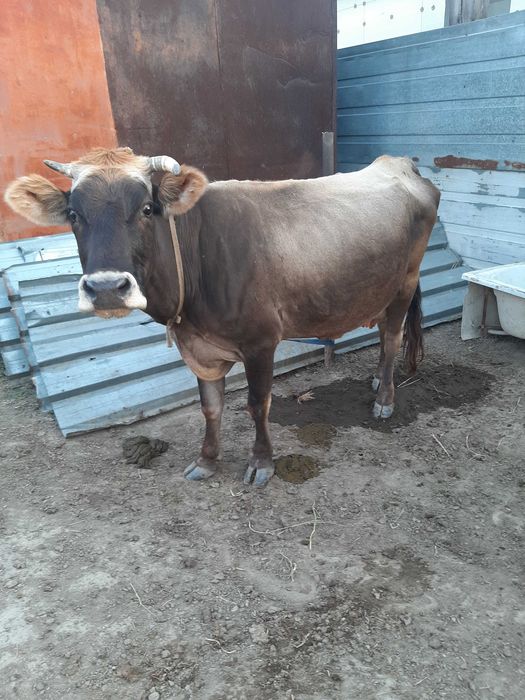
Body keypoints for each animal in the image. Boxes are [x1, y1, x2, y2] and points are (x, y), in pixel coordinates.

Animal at [5, 148, 440, 486]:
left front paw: (261, 464)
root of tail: (399, 163)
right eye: (73, 215)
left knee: (392, 338)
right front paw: (207, 460)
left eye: (147, 209)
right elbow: (210, 406)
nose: (108, 287)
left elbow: (257, 404)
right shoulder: (199, 347)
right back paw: (377, 381)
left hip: (406, 280)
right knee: (384, 333)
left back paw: (384, 399)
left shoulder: (261, 342)